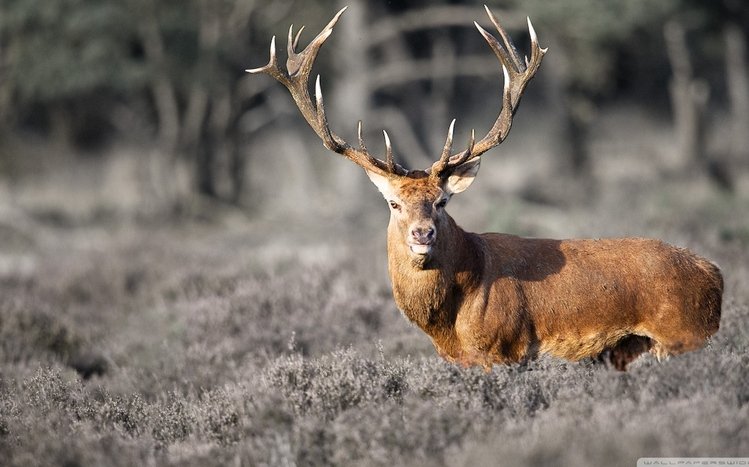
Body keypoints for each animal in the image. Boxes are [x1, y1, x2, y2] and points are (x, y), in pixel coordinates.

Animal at [247, 6, 723, 371]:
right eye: (394, 203)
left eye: (441, 201)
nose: (423, 233)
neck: (449, 323)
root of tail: (715, 276)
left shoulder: (503, 349)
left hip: (684, 333)